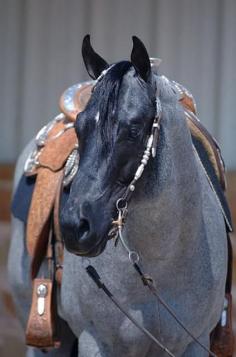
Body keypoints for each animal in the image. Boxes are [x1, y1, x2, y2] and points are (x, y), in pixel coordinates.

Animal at [8, 36, 230, 356]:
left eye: (134, 129)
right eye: (80, 127)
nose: (74, 226)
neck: (159, 262)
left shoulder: (195, 342)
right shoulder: (95, 340)